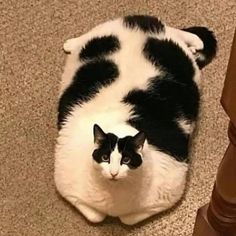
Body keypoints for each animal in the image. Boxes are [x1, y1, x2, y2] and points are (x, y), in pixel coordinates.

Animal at [54, 14, 217, 225]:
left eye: (126, 159)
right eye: (105, 157)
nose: (114, 172)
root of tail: (142, 23)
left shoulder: (167, 193)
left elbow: (127, 219)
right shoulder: (67, 185)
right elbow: (95, 215)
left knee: (176, 32)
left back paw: (195, 43)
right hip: (106, 33)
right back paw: (71, 43)